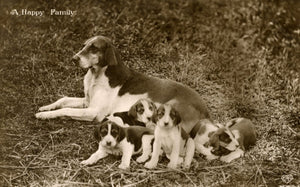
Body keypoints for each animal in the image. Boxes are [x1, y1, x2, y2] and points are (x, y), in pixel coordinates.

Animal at [34, 35, 209, 133]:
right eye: (84, 45)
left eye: (94, 48)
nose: (73, 59)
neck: (96, 75)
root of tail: (206, 111)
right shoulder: (86, 101)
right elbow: (63, 100)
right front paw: (46, 107)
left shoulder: (93, 111)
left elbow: (66, 109)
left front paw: (44, 115)